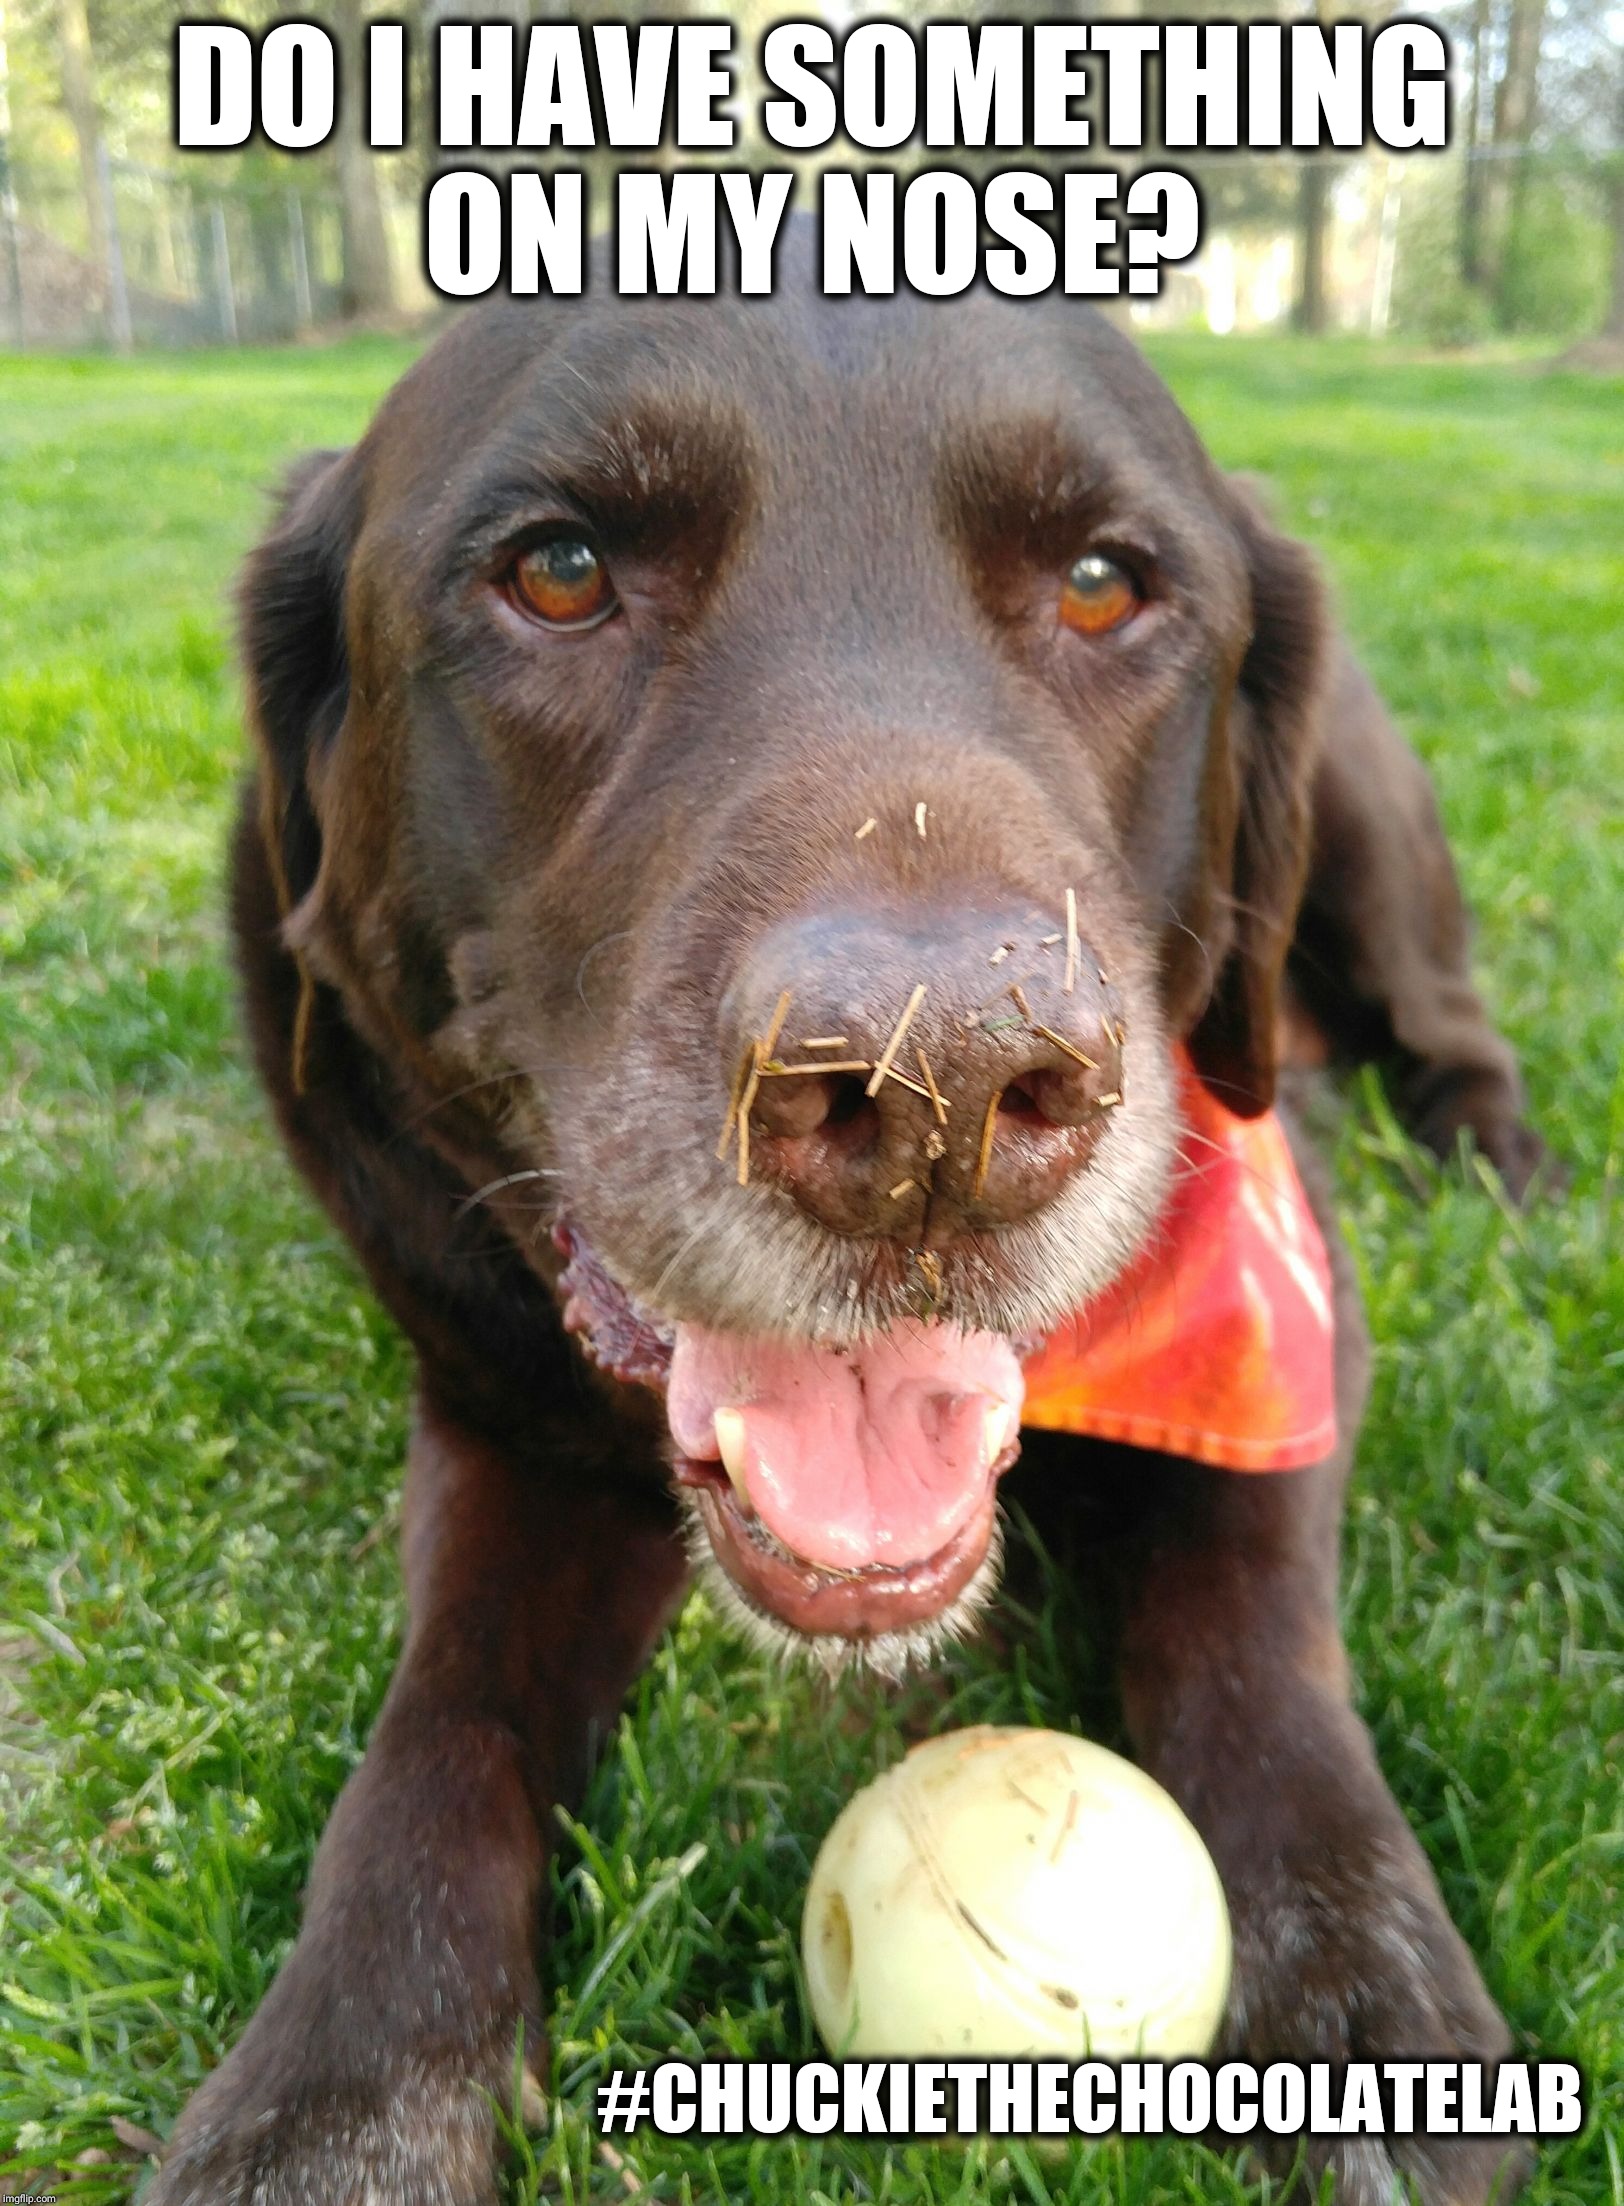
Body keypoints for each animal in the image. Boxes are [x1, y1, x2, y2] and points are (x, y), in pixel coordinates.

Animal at [152, 262, 1544, 2206]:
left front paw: (1362, 1983)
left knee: (1450, 1027)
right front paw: (335, 2089)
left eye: (1103, 582)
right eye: (558, 569)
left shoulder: (1281, 1323)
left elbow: (1245, 1611)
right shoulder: (501, 1421)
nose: (939, 1097)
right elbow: (443, 1721)